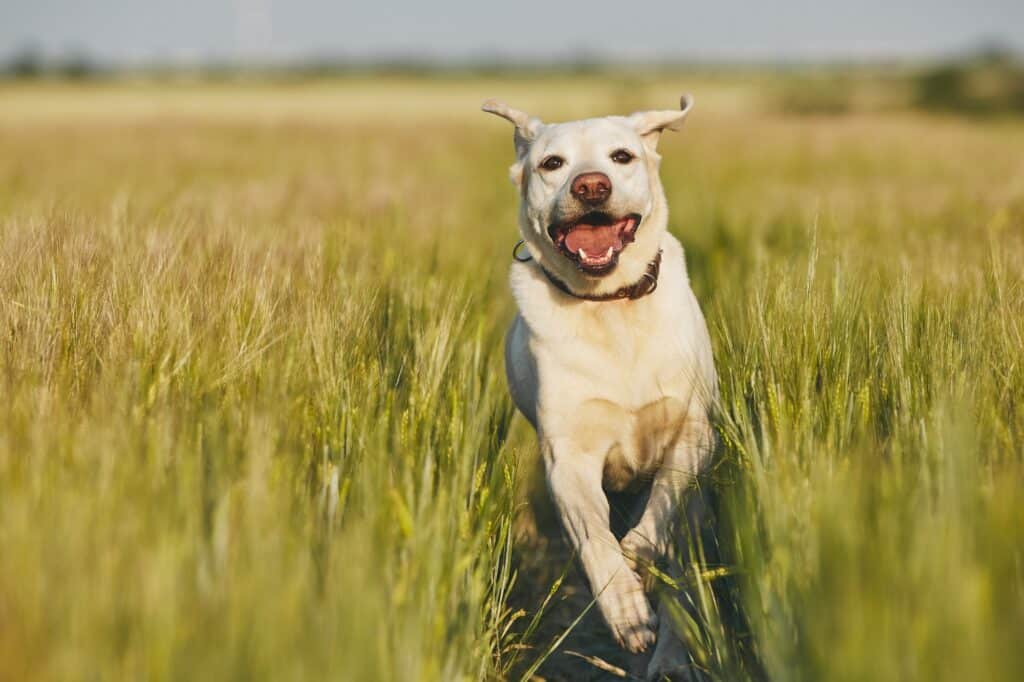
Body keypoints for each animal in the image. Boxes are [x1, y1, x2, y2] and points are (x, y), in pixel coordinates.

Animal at [483, 94, 716, 675]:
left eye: (621, 156)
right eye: (552, 164)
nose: (591, 186)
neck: (610, 305)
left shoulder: (693, 434)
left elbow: (663, 507)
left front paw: (640, 553)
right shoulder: (568, 459)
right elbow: (594, 536)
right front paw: (625, 609)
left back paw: (671, 659)